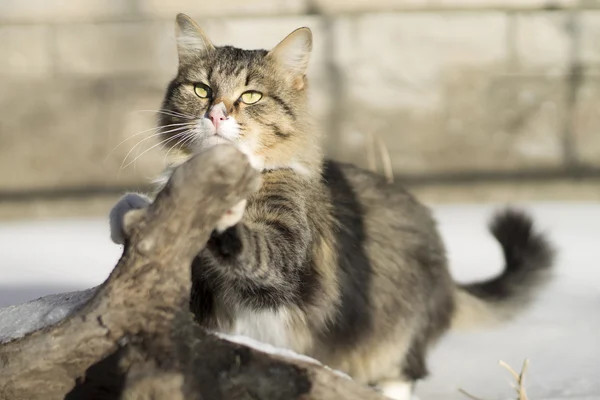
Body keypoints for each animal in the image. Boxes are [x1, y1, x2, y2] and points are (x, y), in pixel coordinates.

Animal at [109, 13, 552, 400]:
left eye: (250, 96)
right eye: (201, 90)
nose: (216, 114)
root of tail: (446, 273)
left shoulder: (287, 261)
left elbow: (255, 249)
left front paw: (223, 218)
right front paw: (129, 211)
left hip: (395, 336)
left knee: (403, 374)